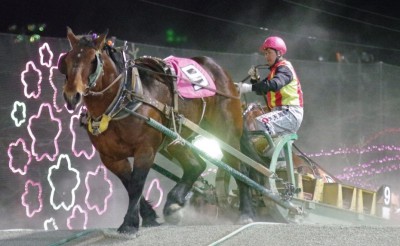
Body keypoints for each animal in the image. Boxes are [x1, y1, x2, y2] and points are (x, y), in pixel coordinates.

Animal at [57, 27, 253, 234]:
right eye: (66, 60)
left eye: (93, 61)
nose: (72, 95)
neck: (124, 98)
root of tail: (220, 71)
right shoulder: (111, 158)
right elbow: (129, 183)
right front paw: (149, 216)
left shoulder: (145, 150)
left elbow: (136, 183)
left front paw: (130, 222)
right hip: (175, 139)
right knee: (196, 165)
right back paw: (174, 202)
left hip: (226, 133)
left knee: (240, 169)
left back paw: (246, 212)